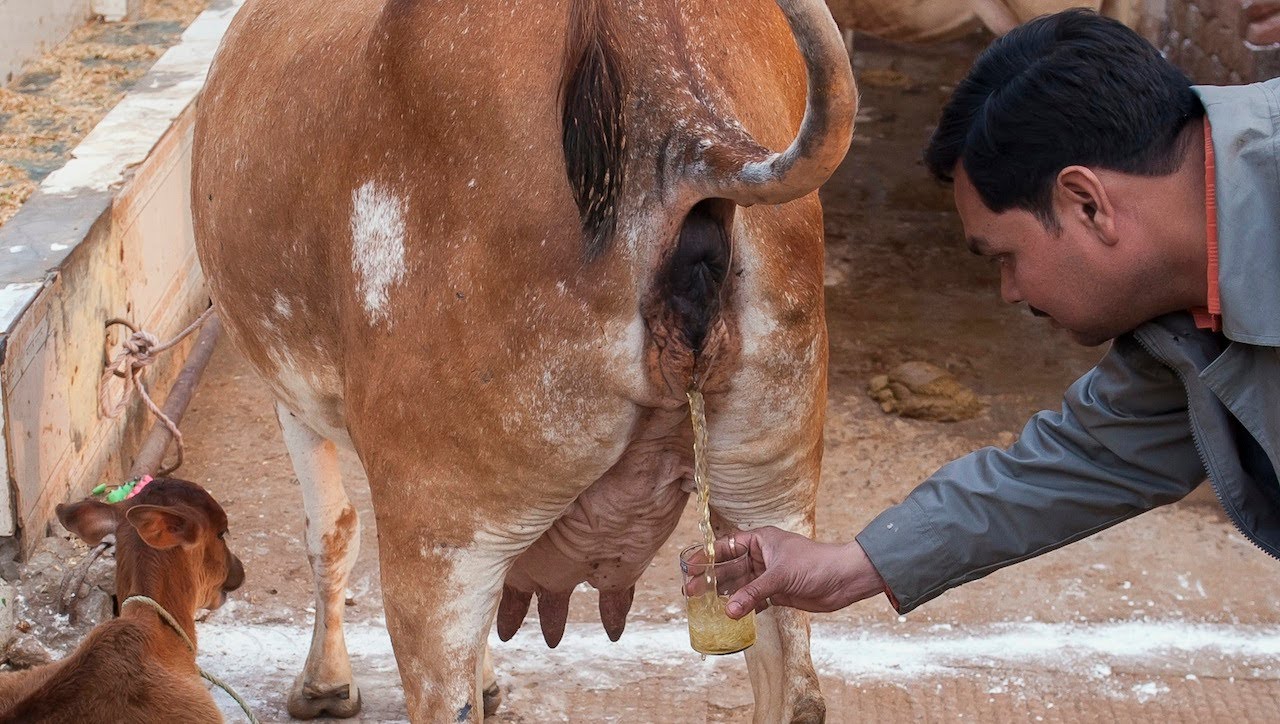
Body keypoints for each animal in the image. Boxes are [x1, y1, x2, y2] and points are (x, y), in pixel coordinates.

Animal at [194, 0, 855, 721]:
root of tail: (678, 111)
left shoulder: (294, 397)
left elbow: (330, 531)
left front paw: (325, 685)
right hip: (770, 491)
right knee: (797, 687)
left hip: (440, 535)